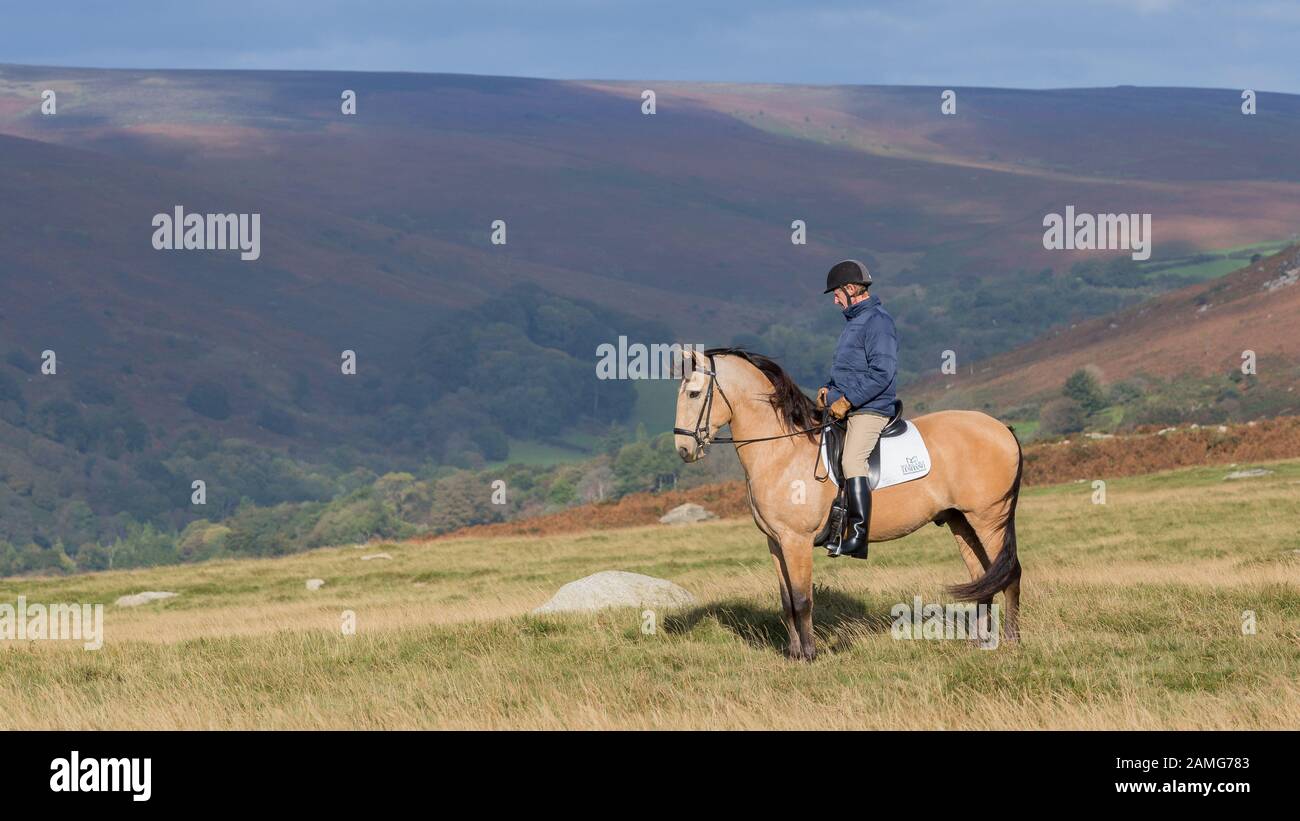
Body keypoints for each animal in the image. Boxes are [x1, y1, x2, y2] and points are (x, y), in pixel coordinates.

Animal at [673, 347, 1023, 661]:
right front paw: (793, 654)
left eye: (693, 394)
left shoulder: (796, 541)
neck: (783, 451)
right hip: (961, 521)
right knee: (983, 579)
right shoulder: (775, 542)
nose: (683, 449)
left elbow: (802, 599)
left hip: (988, 518)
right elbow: (786, 601)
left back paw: (1011, 641)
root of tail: (1001, 428)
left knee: (1009, 574)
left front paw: (809, 655)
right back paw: (980, 643)